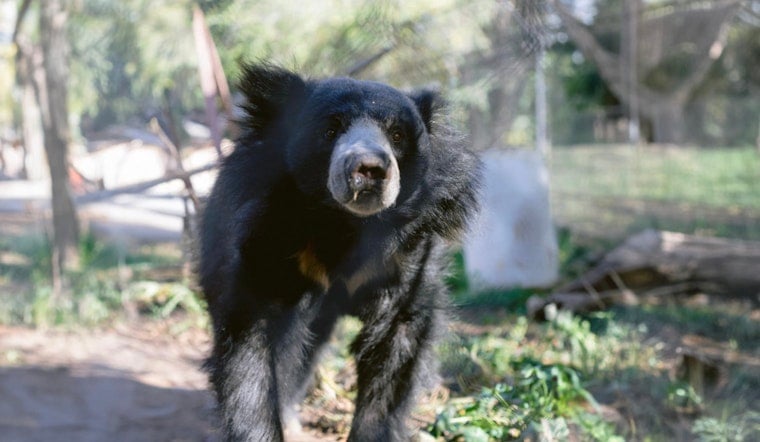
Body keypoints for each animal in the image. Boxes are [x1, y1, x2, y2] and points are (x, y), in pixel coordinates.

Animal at [198, 63, 480, 441]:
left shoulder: (408, 254)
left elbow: (395, 344)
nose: (370, 169)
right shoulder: (269, 235)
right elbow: (251, 344)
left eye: (397, 135)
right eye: (330, 129)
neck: (344, 224)